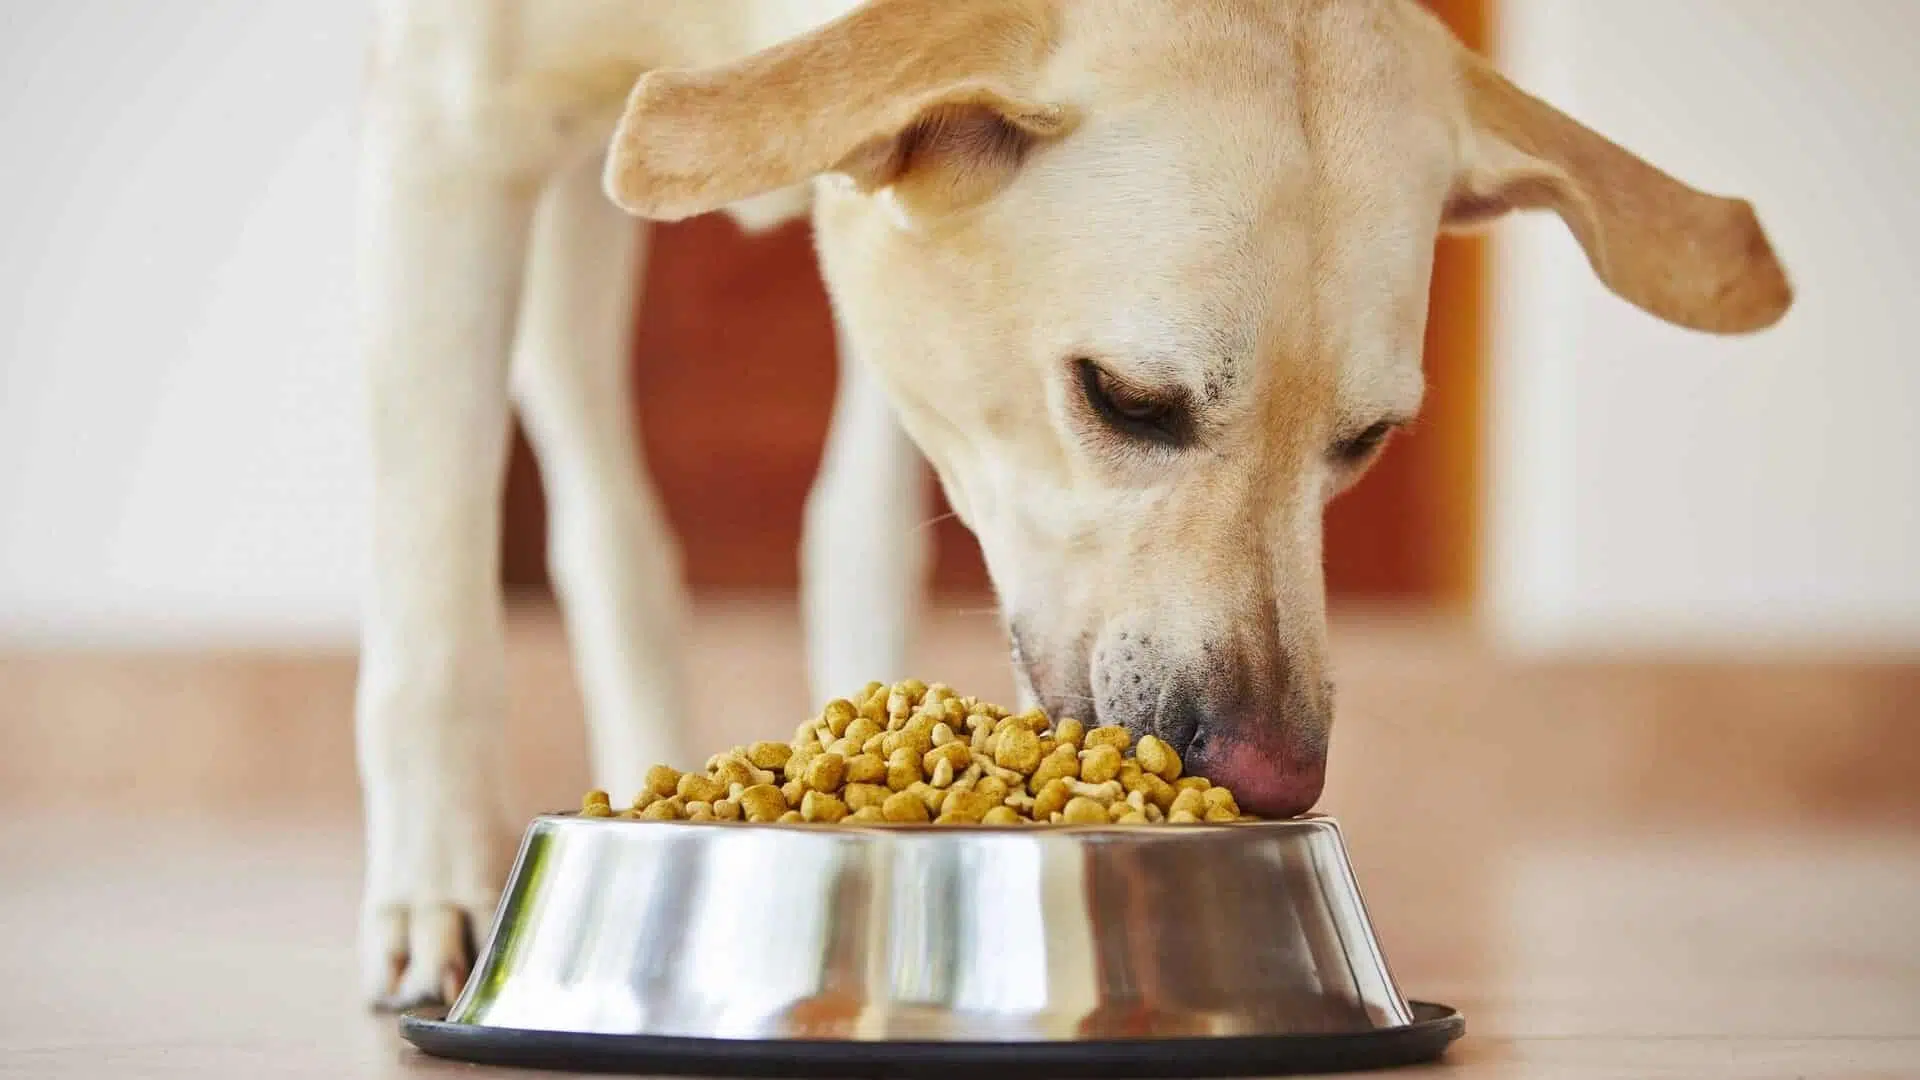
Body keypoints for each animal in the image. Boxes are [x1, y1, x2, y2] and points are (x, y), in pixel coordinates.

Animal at [353, 0, 1789, 999]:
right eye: (1127, 399)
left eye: (1368, 441)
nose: (1276, 778)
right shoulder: (453, 132)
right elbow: (432, 601)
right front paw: (440, 893)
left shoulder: (891, 291)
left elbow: (860, 538)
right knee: (596, 511)